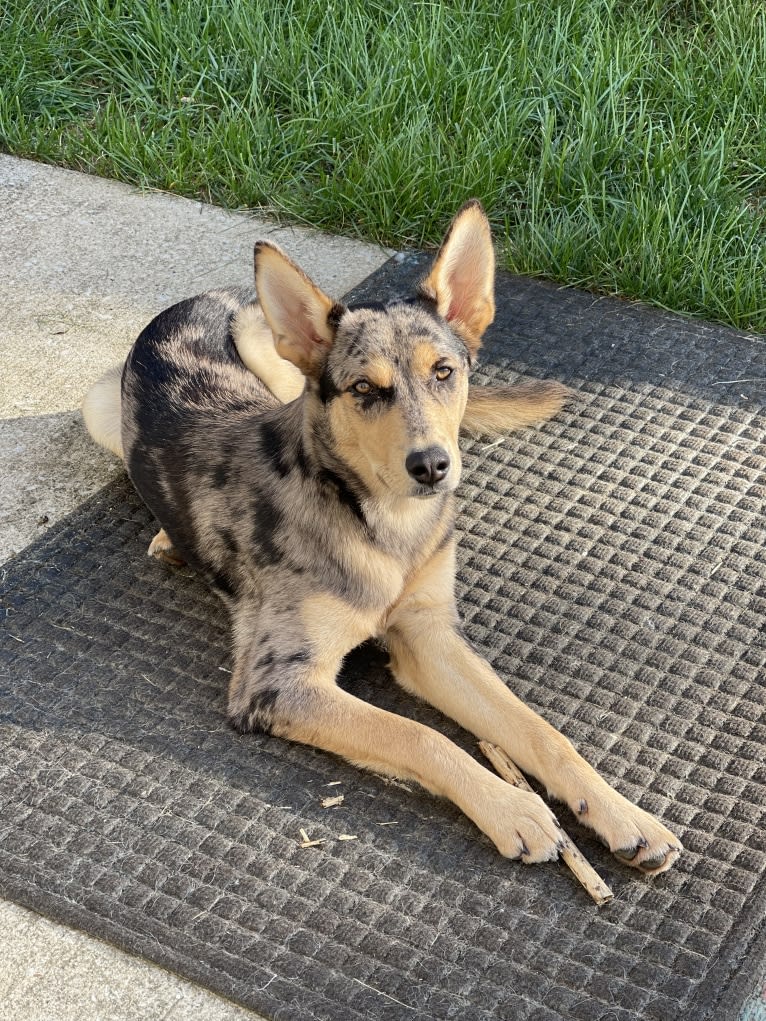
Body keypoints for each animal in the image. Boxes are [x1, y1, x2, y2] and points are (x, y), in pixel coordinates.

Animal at [83, 203, 682, 873]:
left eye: (444, 372)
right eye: (364, 390)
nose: (432, 466)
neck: (379, 524)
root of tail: (206, 296)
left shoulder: (429, 636)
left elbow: (539, 731)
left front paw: (622, 815)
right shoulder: (278, 684)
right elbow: (417, 734)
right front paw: (513, 808)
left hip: (273, 369)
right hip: (103, 409)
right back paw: (167, 539)